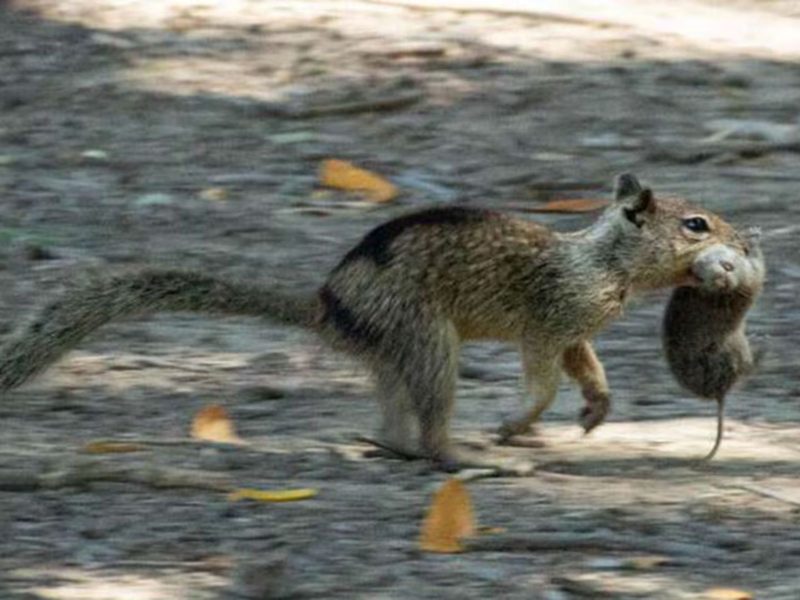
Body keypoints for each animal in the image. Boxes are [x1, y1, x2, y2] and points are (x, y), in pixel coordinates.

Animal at [0, 171, 752, 472]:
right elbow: (542, 378)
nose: (746, 242)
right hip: (428, 340)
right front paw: (516, 422)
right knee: (432, 422)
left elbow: (584, 366)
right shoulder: (551, 319)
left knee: (394, 421)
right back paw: (467, 454)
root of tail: (327, 305)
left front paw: (594, 410)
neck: (603, 260)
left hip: (398, 352)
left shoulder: (576, 329)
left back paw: (397, 446)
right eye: (696, 224)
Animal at [660, 225, 764, 460]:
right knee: (748, 367)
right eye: (725, 265)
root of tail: (719, 392)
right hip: (736, 351)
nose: (725, 271)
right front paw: (753, 237)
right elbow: (758, 266)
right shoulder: (750, 278)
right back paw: (762, 345)